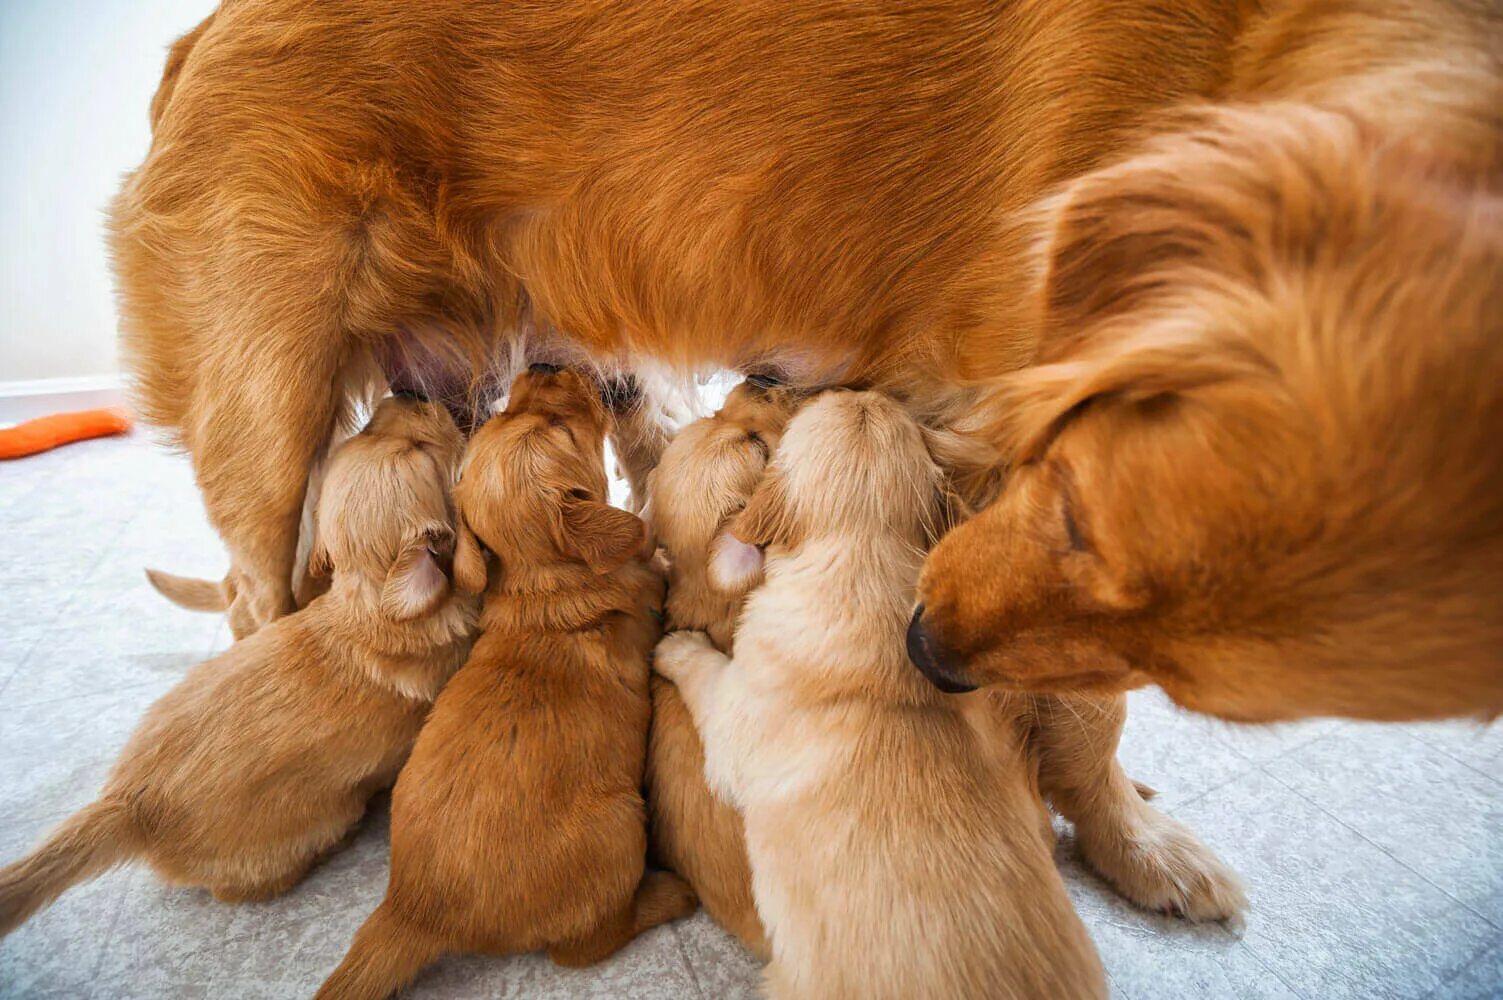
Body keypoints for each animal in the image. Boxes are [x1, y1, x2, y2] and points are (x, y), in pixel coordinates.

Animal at [0, 396, 474, 938]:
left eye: (371, 427)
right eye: (417, 450)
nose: (410, 395)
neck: (371, 603)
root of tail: (127, 804)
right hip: (293, 832)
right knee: (241, 884)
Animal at [320, 366, 694, 998]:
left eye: (505, 413)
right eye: (562, 427)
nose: (543, 365)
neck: (544, 580)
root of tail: (412, 909)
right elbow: (651, 547)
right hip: (621, 827)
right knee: (585, 946)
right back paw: (668, 894)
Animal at [655, 390, 1106, 998]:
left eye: (761, 441)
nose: (854, 389)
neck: (861, 559)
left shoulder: (733, 716)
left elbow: (704, 671)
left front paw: (675, 646)